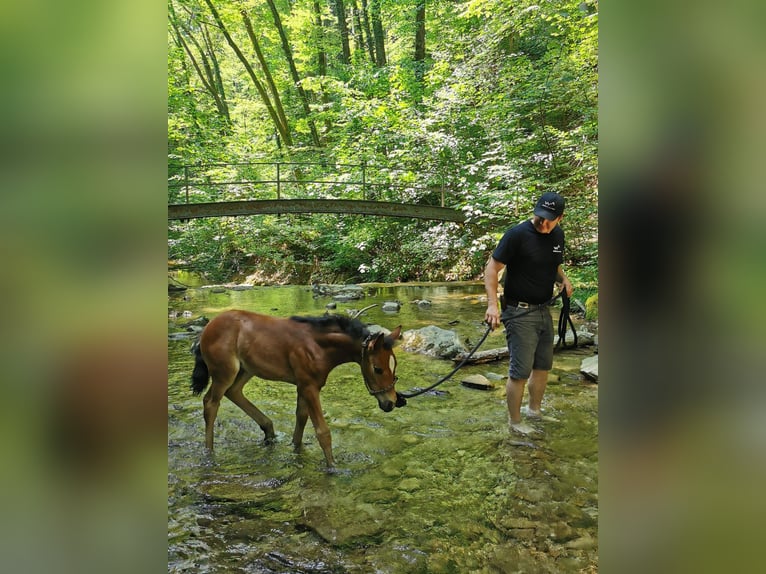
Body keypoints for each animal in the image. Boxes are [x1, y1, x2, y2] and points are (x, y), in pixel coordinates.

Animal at [190, 310, 408, 468]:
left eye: (395, 365)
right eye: (378, 369)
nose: (391, 402)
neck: (318, 347)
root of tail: (207, 328)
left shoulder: (304, 385)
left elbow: (301, 419)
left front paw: (296, 450)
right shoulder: (310, 387)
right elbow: (322, 431)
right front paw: (333, 467)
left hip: (246, 369)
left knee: (233, 392)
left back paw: (268, 430)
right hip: (224, 372)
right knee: (211, 403)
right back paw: (209, 452)